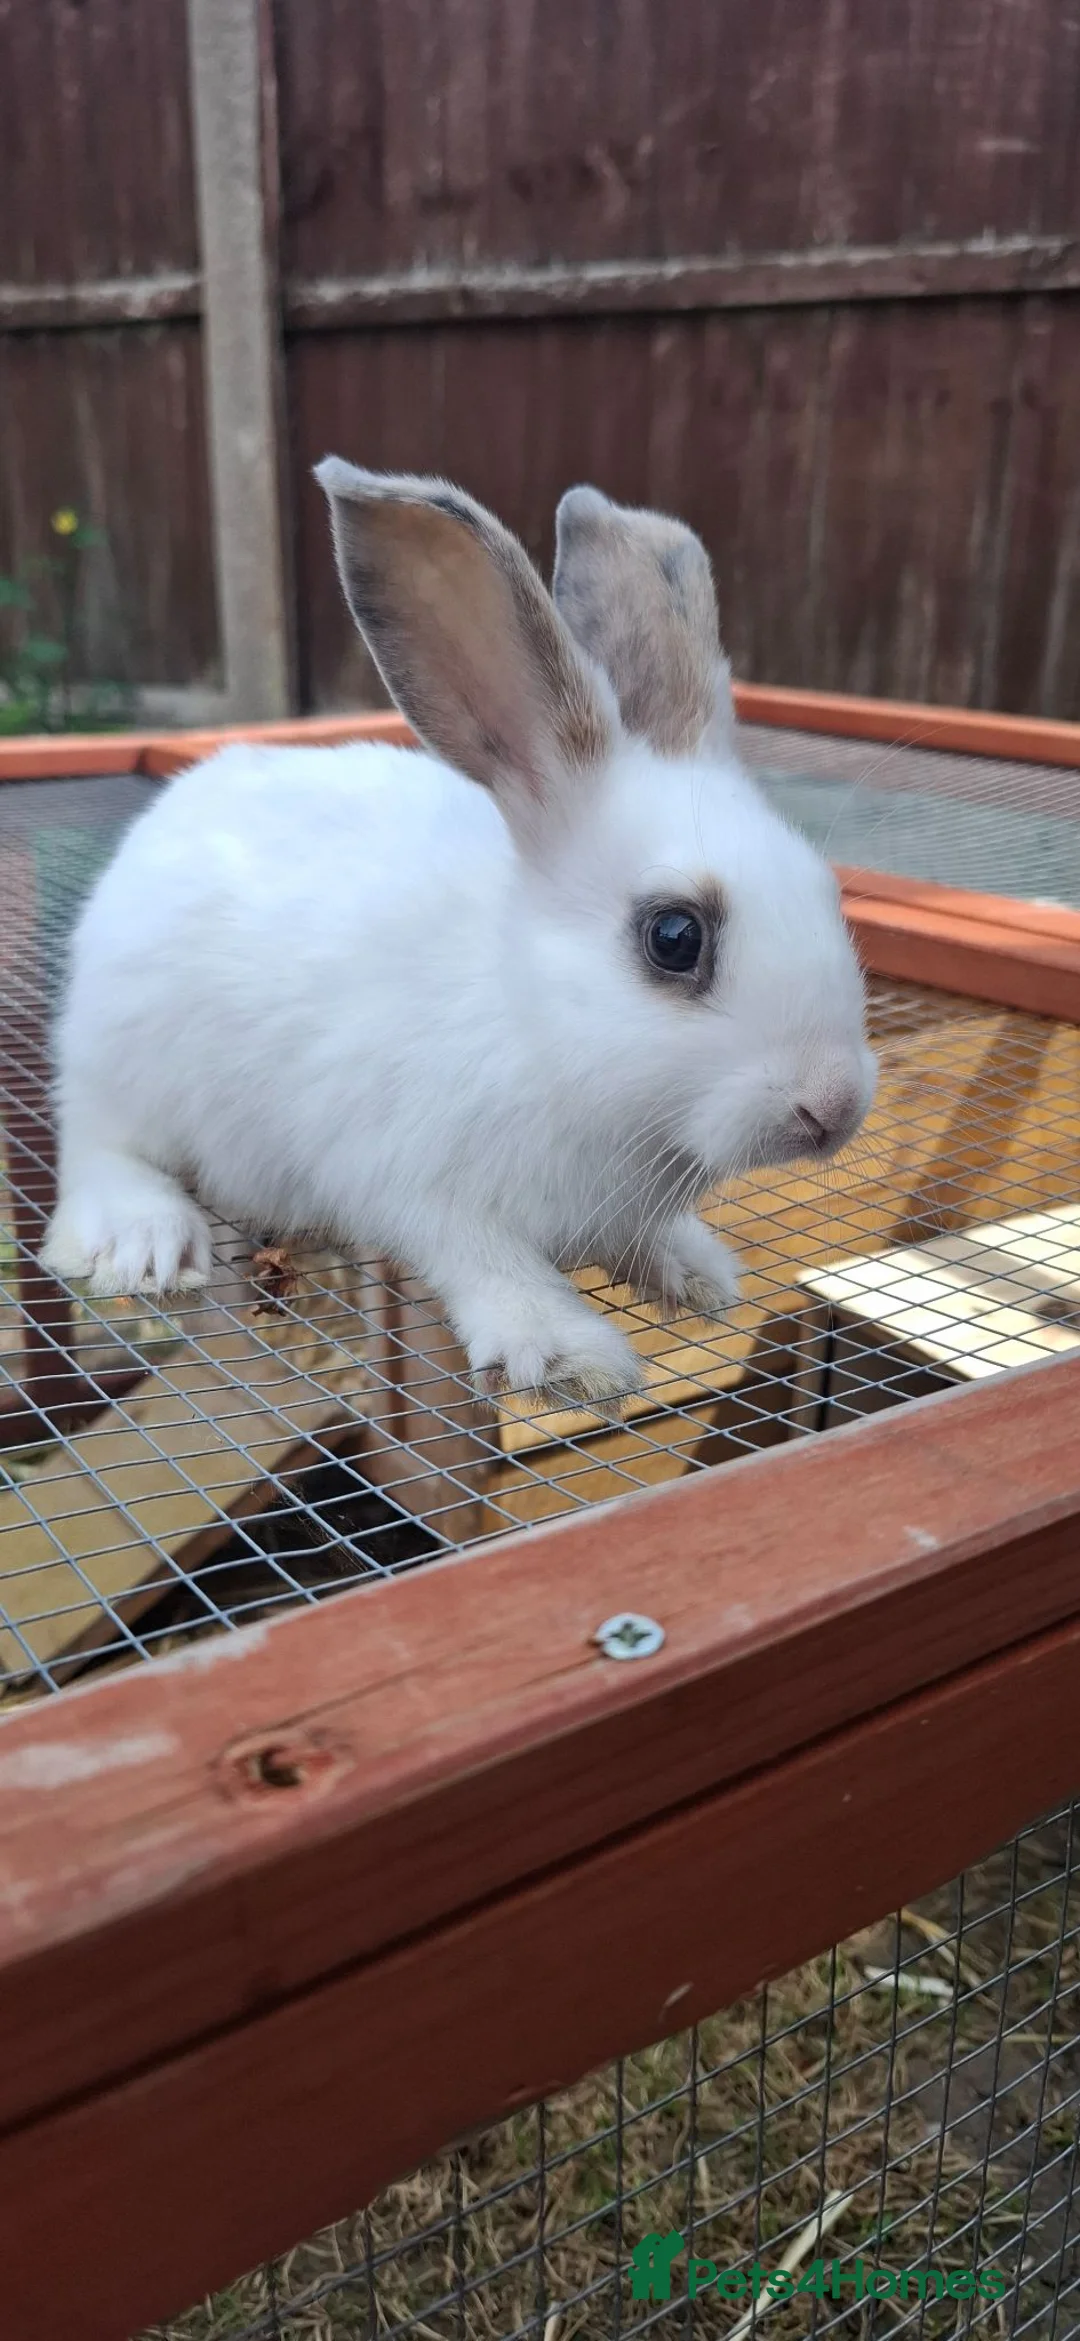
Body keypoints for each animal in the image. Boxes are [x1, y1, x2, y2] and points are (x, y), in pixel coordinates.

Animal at [40, 463, 876, 1408]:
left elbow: (648, 1241)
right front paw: (569, 1356)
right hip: (129, 1061)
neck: (531, 1017)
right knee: (98, 1145)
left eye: (826, 890)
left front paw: (697, 1275)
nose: (835, 1106)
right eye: (674, 936)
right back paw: (144, 1238)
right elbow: (491, 1267)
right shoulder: (422, 1185)